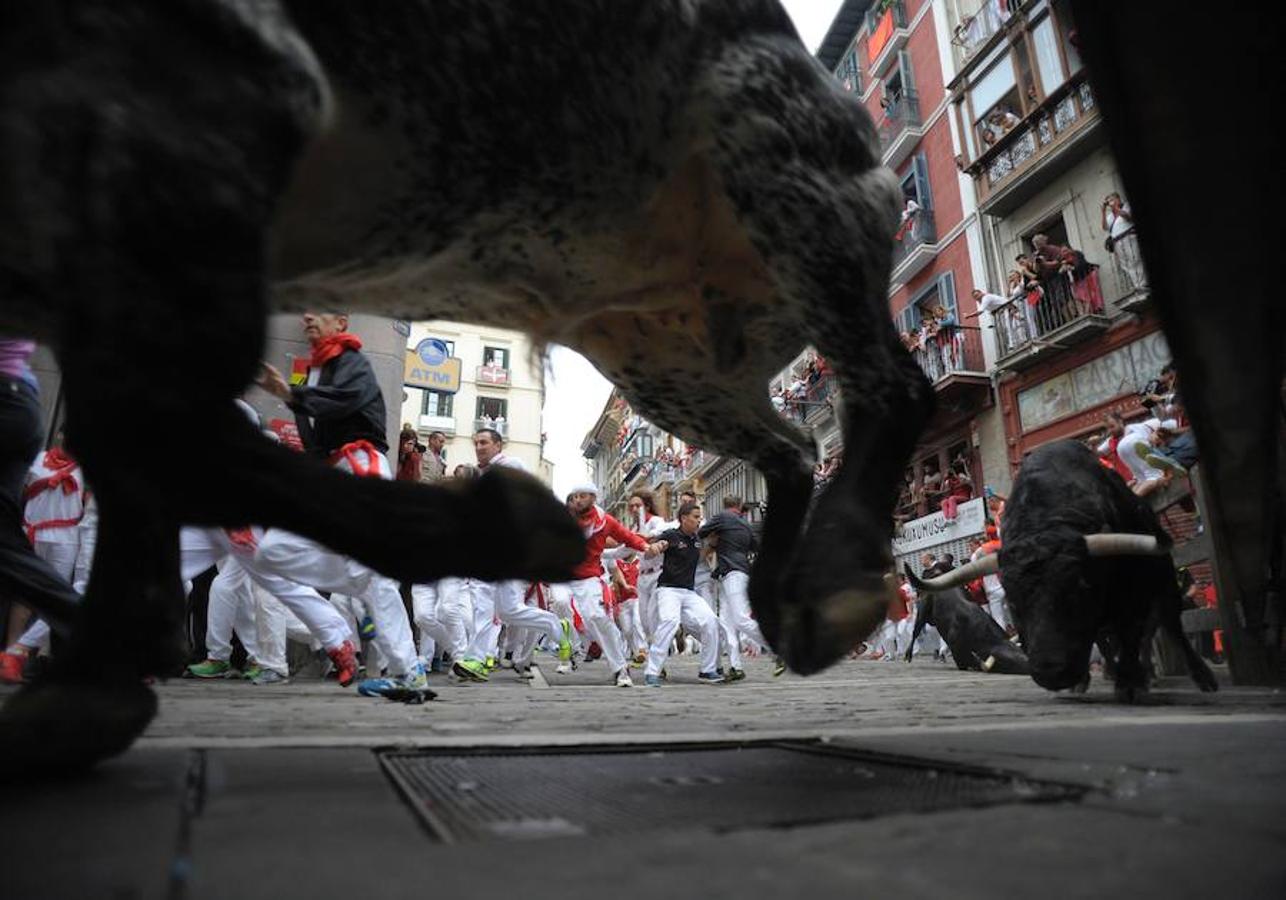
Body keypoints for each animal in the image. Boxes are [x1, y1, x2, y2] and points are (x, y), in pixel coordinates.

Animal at [905, 442, 1213, 704]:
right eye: (1013, 600)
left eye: (1081, 587)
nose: (1051, 670)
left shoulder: (1130, 594)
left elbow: (1133, 634)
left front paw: (1129, 682)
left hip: (1161, 583)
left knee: (1169, 624)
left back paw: (1195, 677)